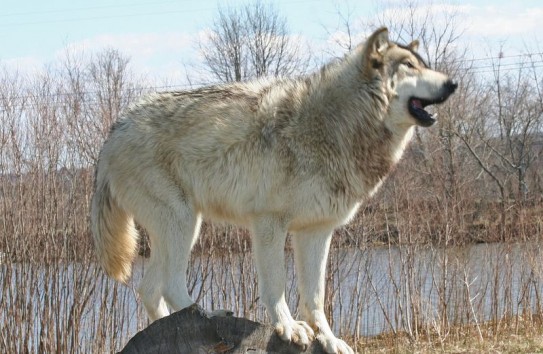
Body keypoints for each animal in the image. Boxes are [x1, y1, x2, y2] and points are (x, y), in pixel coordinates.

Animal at [91, 28, 456, 354]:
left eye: (423, 64)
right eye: (409, 66)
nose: (452, 83)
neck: (333, 124)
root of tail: (114, 130)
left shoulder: (317, 231)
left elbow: (315, 296)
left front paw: (328, 339)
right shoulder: (269, 223)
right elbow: (276, 285)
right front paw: (289, 327)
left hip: (181, 228)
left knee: (149, 288)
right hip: (182, 223)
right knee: (168, 284)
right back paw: (207, 313)